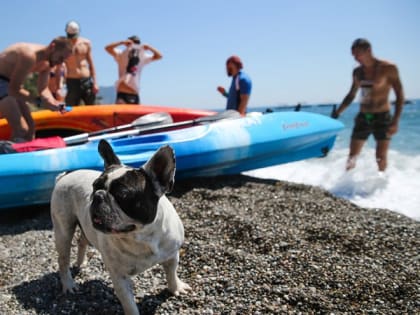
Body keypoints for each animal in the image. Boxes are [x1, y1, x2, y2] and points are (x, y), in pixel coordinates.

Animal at [49, 140, 192, 315]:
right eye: (95, 186)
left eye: (123, 194)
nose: (97, 195)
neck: (141, 237)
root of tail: (64, 176)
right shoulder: (120, 278)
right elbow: (129, 305)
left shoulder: (172, 255)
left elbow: (171, 273)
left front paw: (175, 288)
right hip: (63, 229)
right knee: (63, 259)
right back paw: (68, 284)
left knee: (82, 240)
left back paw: (81, 263)